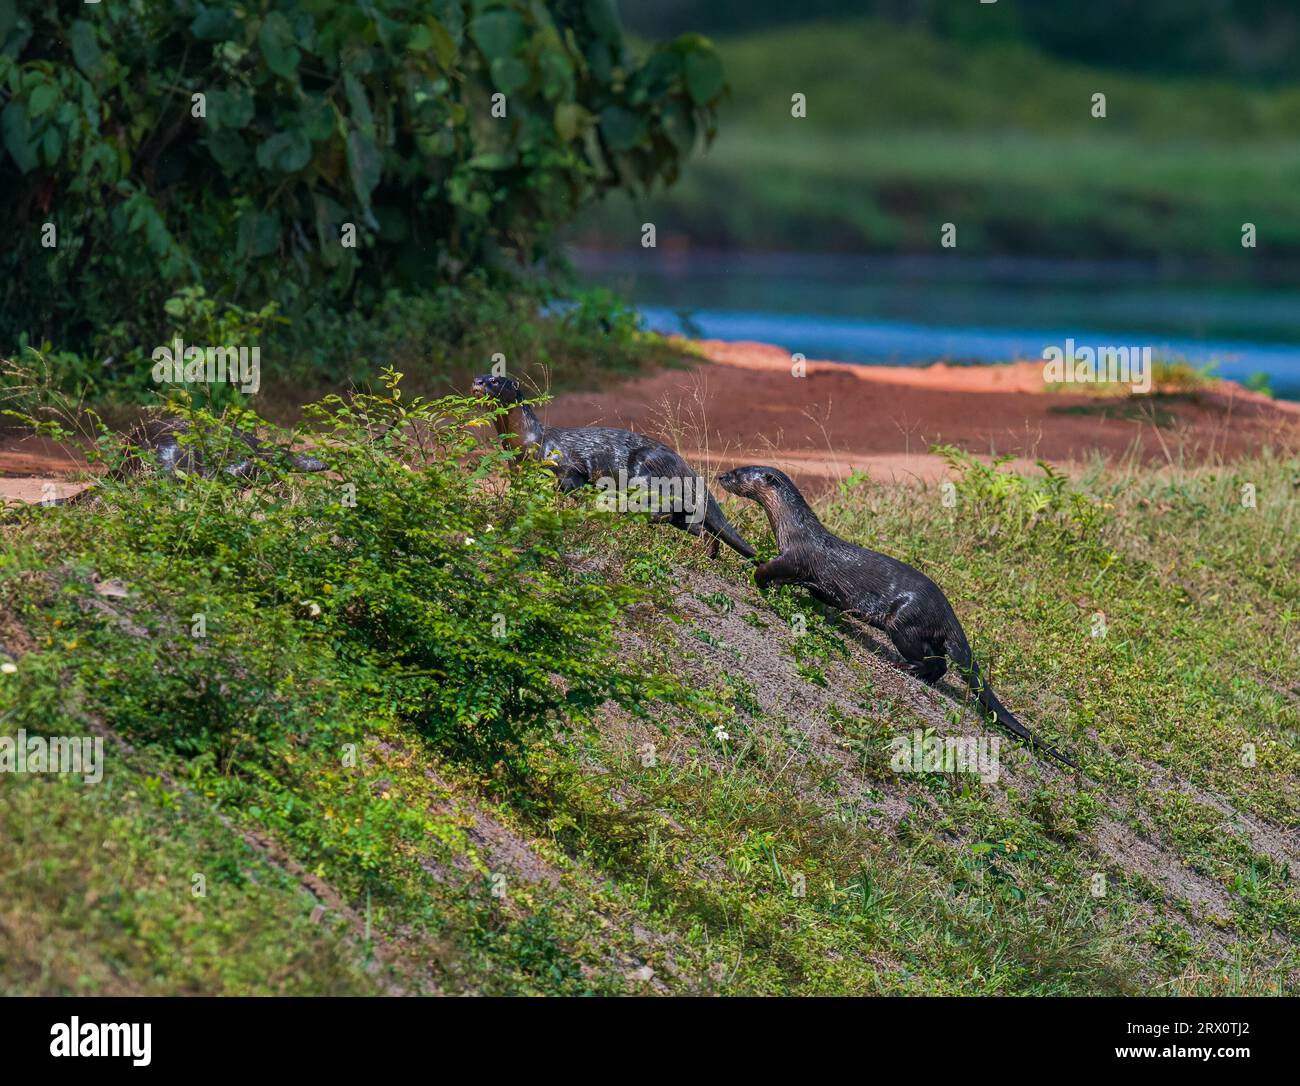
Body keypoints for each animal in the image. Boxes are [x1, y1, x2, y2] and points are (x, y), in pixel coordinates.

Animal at [470, 374, 759, 561]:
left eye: (494, 380)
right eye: (481, 375)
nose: (477, 382)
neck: (528, 440)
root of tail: (683, 465)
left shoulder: (567, 468)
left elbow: (575, 489)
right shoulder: (519, 472)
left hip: (644, 470)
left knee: (661, 508)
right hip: (683, 509)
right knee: (698, 527)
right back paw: (708, 555)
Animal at [722, 463, 1076, 769]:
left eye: (739, 473)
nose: (721, 475)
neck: (793, 529)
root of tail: (949, 613)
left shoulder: (795, 557)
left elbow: (773, 569)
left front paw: (757, 575)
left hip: (904, 623)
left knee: (933, 660)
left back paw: (904, 667)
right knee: (940, 663)